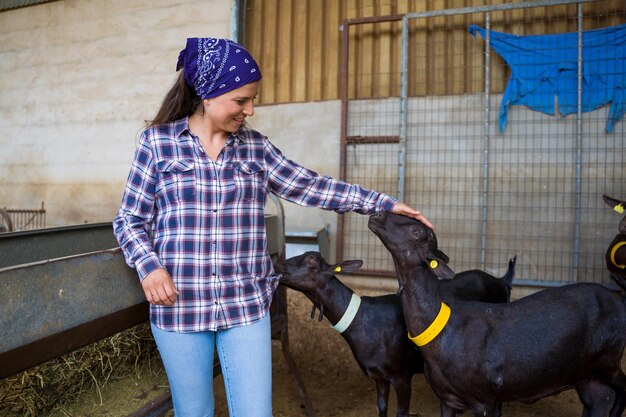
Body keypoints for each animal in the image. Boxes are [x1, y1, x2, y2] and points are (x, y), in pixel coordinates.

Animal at [278, 250, 512, 416]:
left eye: (311, 259)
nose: (279, 266)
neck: (363, 321)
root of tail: (502, 281)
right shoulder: (378, 376)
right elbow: (381, 408)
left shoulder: (401, 375)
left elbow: (402, 412)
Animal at [366, 211, 624, 416]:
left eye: (417, 231)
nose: (377, 214)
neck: (442, 333)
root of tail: (618, 302)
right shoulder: (447, 398)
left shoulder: (486, 399)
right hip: (588, 375)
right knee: (599, 400)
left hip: (608, 359)